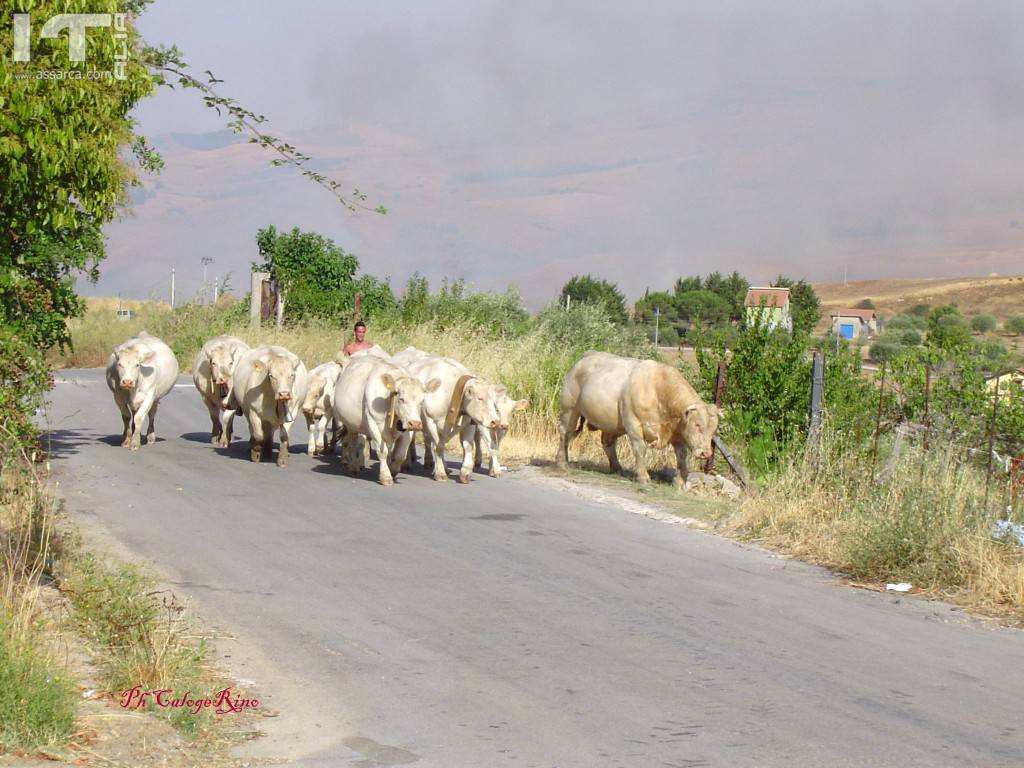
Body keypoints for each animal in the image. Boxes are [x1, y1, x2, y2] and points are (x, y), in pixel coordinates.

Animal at [561, 352, 720, 489]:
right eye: (697, 424)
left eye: (713, 430)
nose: (706, 453)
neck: (659, 391)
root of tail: (586, 357)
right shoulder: (633, 423)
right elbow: (640, 449)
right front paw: (643, 477)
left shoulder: (677, 432)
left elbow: (681, 455)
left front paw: (680, 482)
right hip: (570, 409)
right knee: (566, 433)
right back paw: (562, 463)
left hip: (613, 424)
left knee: (608, 443)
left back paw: (617, 468)